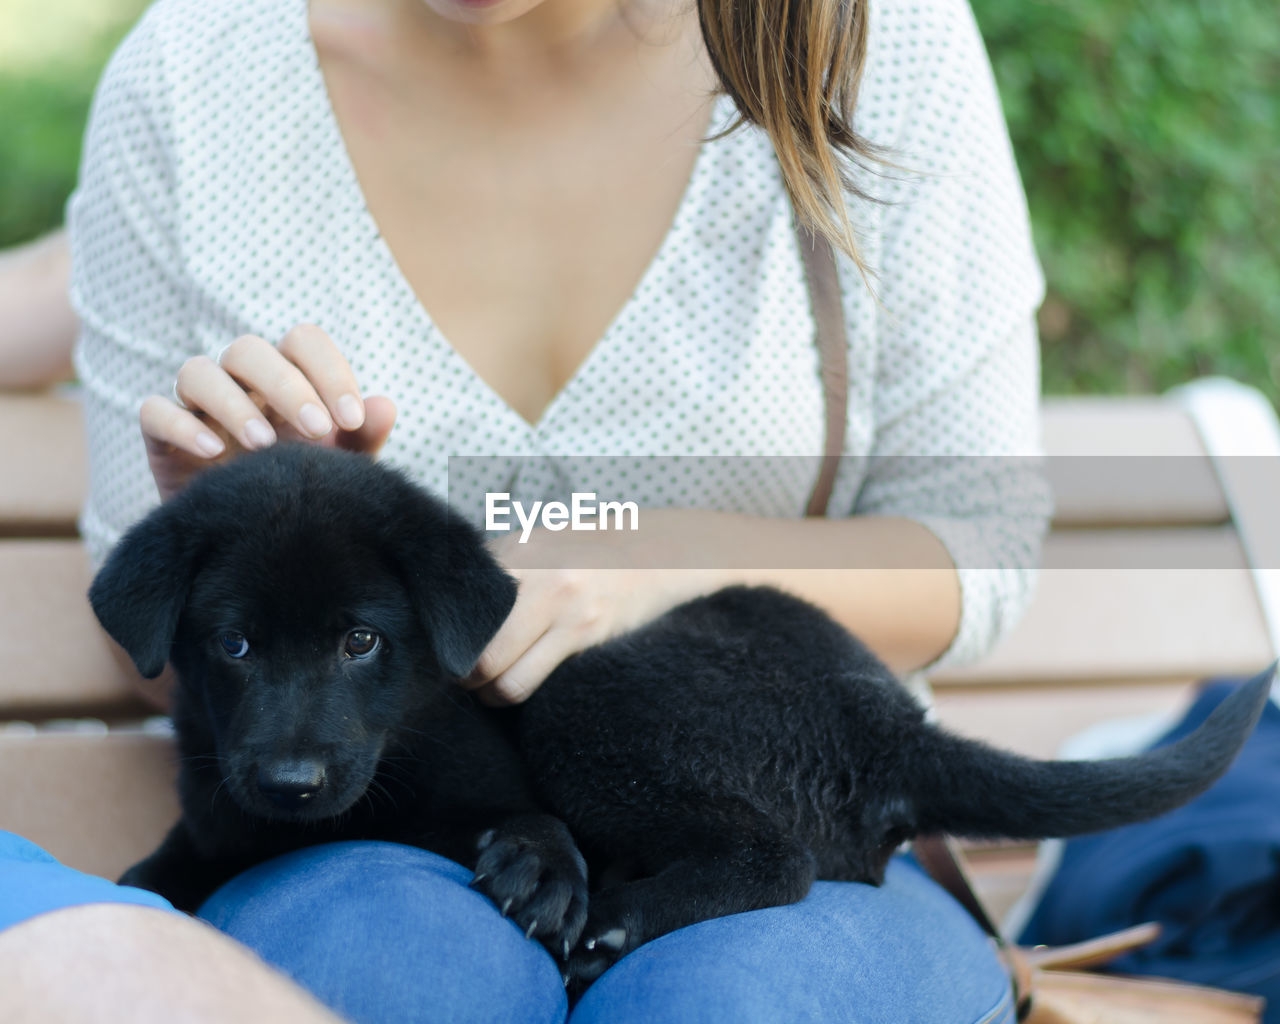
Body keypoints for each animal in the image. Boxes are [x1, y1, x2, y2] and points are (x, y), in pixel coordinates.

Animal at [90, 442, 1269, 988]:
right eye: (234, 645)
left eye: (359, 641)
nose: (290, 784)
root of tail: (896, 727)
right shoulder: (217, 814)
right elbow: (157, 869)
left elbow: (529, 821)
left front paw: (541, 873)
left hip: (592, 693)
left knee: (774, 858)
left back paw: (620, 914)